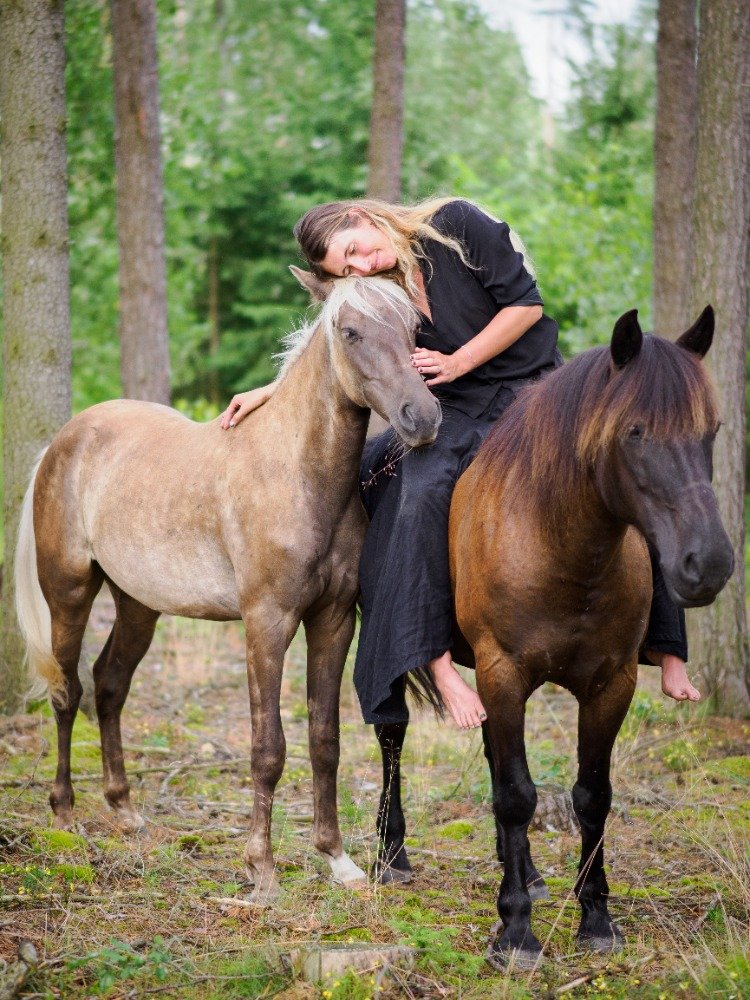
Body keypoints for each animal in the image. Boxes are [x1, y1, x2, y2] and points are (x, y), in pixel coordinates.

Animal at [16, 266, 440, 900]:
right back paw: (65, 814)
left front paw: (337, 860)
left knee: (109, 686)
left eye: (414, 328)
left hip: (138, 604)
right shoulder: (266, 623)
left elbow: (325, 741)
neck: (298, 475)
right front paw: (260, 869)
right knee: (68, 693)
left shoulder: (334, 621)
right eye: (351, 331)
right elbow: (268, 749)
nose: (423, 417)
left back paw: (125, 809)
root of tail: (63, 441)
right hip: (68, 593)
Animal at [374, 306, 736, 968]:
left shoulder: (609, 684)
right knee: (391, 735)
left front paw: (595, 917)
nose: (710, 565)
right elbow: (518, 794)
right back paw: (392, 856)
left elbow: (590, 795)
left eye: (712, 430)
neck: (560, 544)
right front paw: (515, 931)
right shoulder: (504, 673)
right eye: (635, 433)